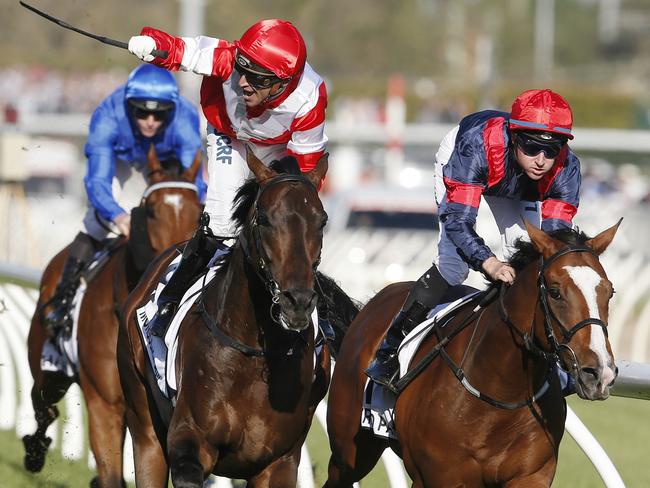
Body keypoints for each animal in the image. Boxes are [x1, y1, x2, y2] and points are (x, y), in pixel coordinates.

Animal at [24, 146, 202, 488]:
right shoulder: (105, 404)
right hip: (49, 370)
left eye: (198, 208)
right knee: (44, 406)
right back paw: (34, 452)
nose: (182, 253)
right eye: (151, 210)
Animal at [117, 151, 356, 486]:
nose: (297, 301)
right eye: (265, 218)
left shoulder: (278, 462)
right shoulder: (190, 439)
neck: (255, 355)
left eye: (321, 221)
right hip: (144, 425)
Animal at [324, 222, 616, 488]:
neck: (500, 394)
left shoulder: (530, 476)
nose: (599, 373)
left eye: (609, 291)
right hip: (350, 452)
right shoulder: (437, 478)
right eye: (555, 292)